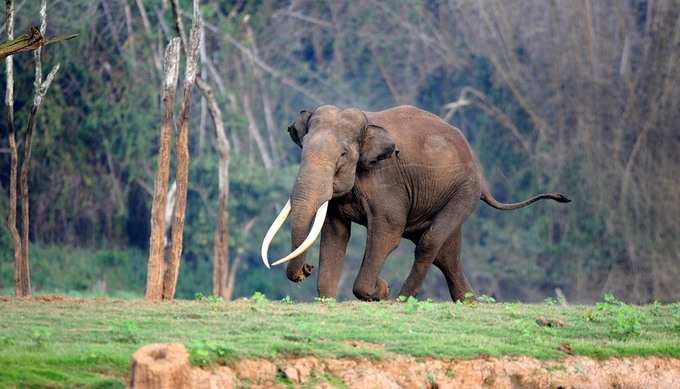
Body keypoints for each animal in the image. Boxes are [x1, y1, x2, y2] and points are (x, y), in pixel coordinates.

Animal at [260, 104, 568, 302]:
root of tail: (481, 178)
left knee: (430, 243)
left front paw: (379, 291)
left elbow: (387, 233)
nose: (306, 270)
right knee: (446, 256)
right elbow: (335, 234)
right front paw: (329, 298)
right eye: (303, 149)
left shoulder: (386, 182)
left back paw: (401, 299)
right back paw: (469, 301)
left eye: (343, 155)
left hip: (463, 192)